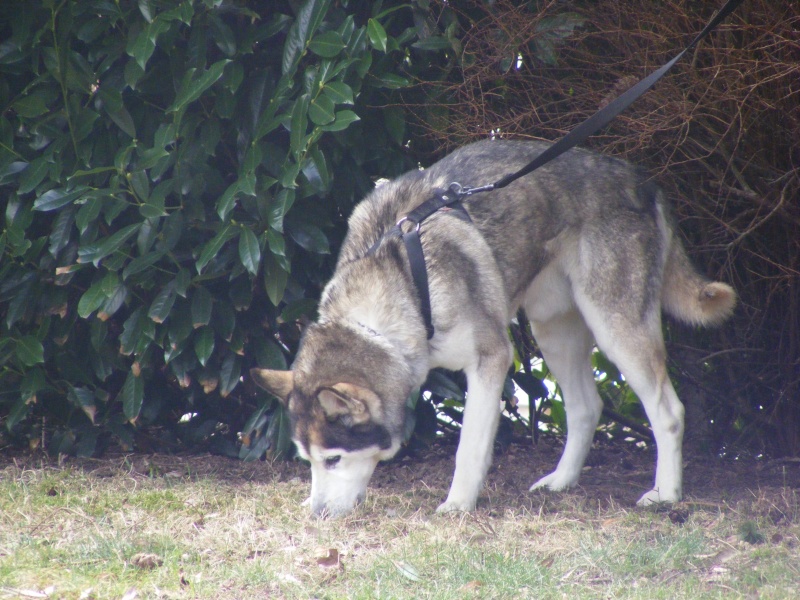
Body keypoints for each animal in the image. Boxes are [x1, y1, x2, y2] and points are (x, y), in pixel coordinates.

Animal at [252, 139, 736, 516]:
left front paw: (458, 504)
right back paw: (562, 481)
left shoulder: (492, 359)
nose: (315, 515)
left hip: (615, 327)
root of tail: (642, 179)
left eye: (334, 459)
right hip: (551, 331)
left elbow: (469, 447)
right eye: (308, 460)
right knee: (586, 407)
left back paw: (667, 494)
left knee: (668, 412)